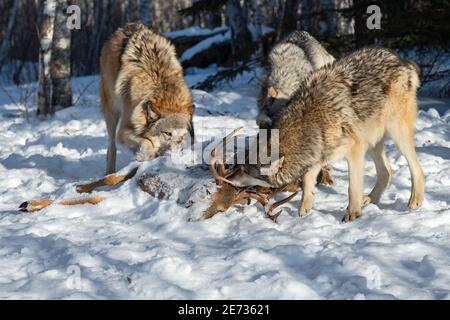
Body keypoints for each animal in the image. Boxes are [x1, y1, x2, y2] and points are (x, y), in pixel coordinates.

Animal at [100, 22, 195, 174]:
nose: (175, 155)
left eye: (181, 136)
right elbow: (147, 141)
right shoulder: (124, 130)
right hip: (111, 112)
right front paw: (146, 153)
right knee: (111, 145)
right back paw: (110, 172)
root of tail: (129, 25)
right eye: (167, 133)